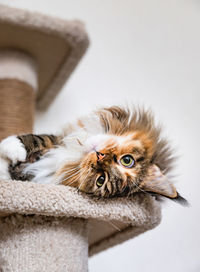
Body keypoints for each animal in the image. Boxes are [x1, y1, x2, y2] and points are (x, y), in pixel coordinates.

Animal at [0, 106, 188, 204]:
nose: (100, 156)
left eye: (101, 180)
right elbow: (40, 139)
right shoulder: (60, 140)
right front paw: (14, 148)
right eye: (127, 161)